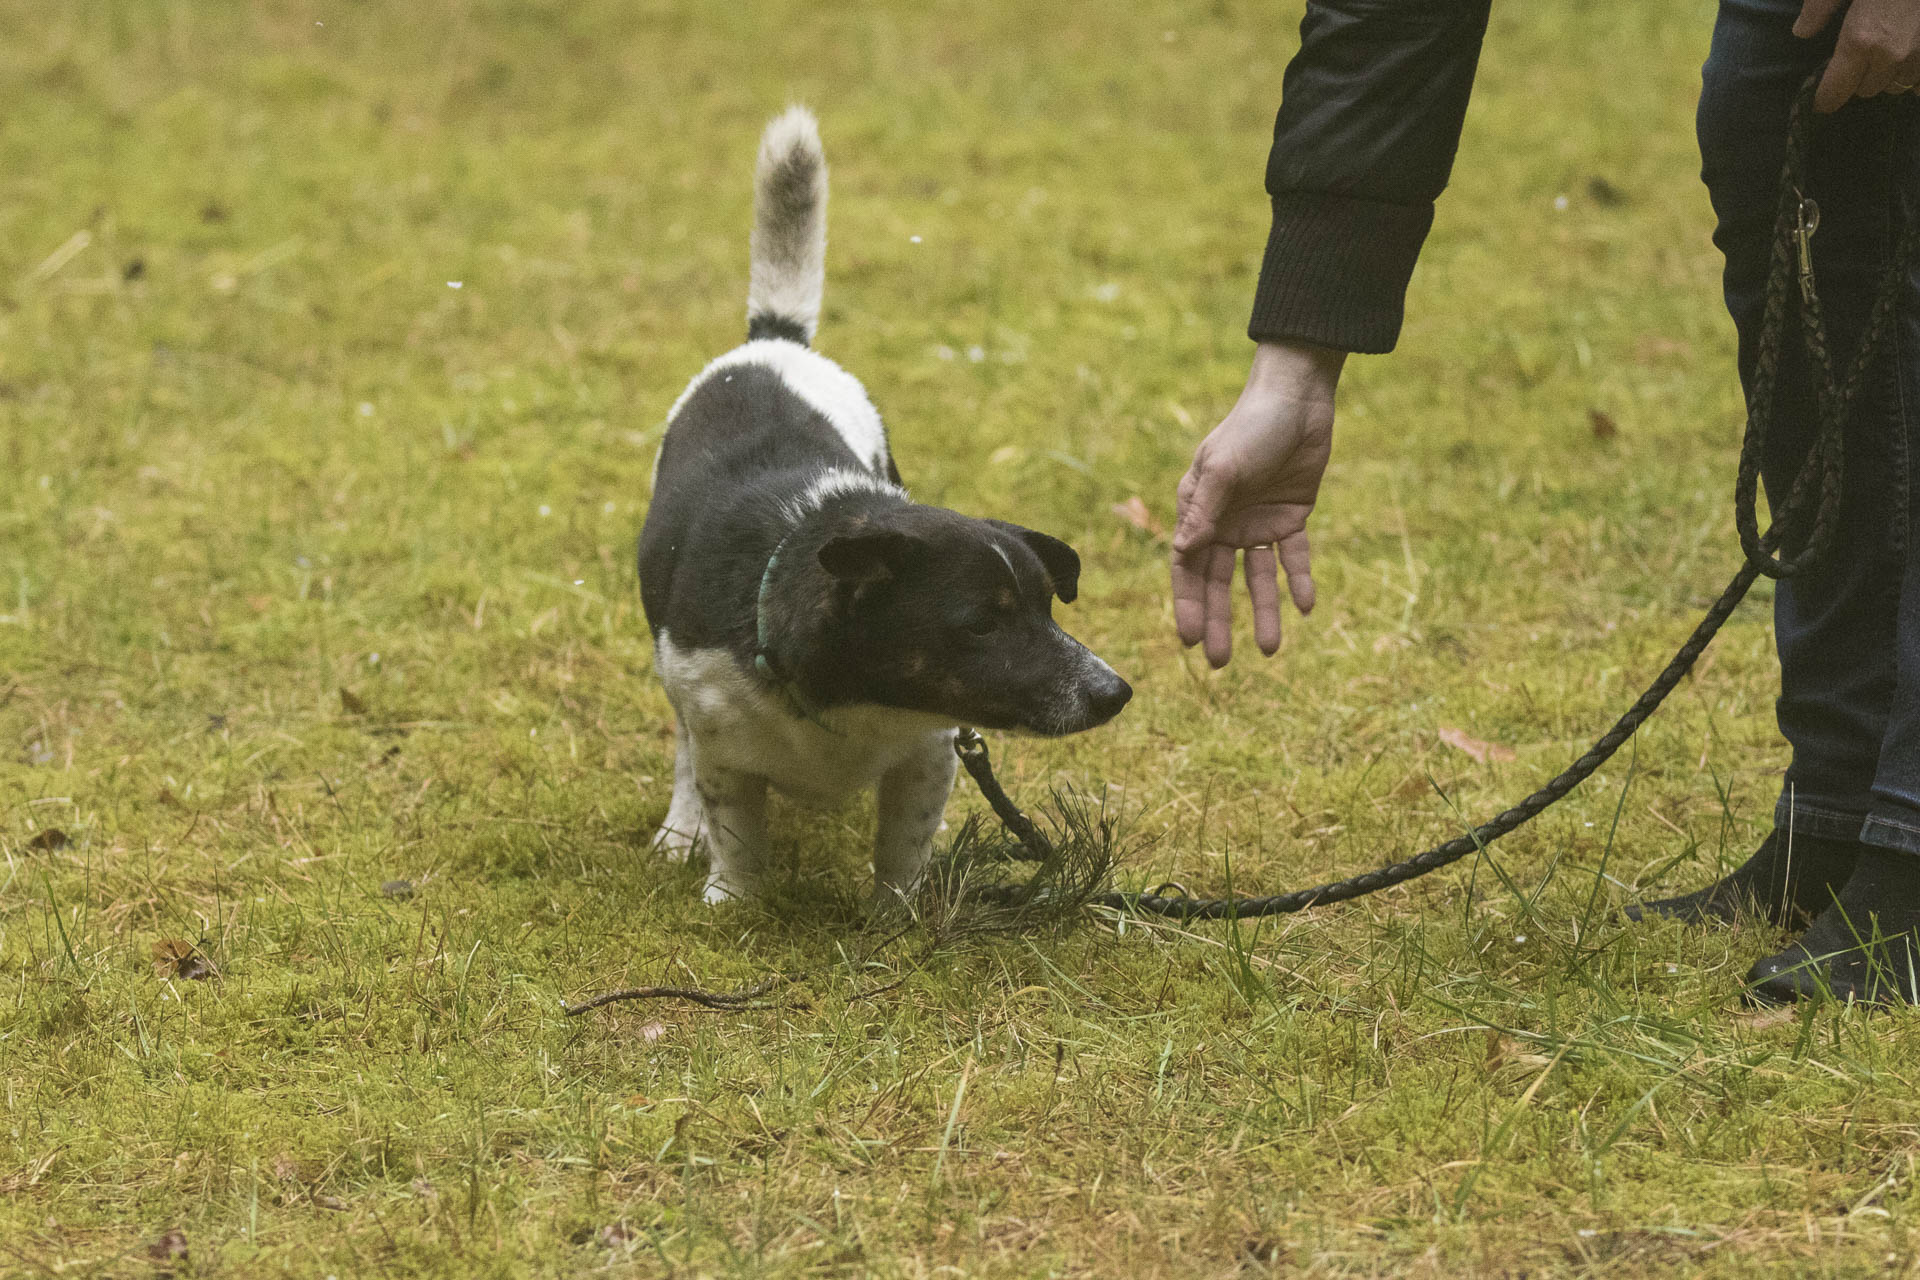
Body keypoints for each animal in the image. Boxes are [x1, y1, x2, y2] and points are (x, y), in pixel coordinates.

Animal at [639, 107, 1132, 909]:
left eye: (1046, 608)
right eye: (982, 623)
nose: (1115, 692)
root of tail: (775, 339)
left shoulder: (929, 755)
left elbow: (903, 847)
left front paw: (898, 918)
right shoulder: (721, 741)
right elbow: (736, 832)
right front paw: (731, 901)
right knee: (684, 756)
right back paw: (681, 832)